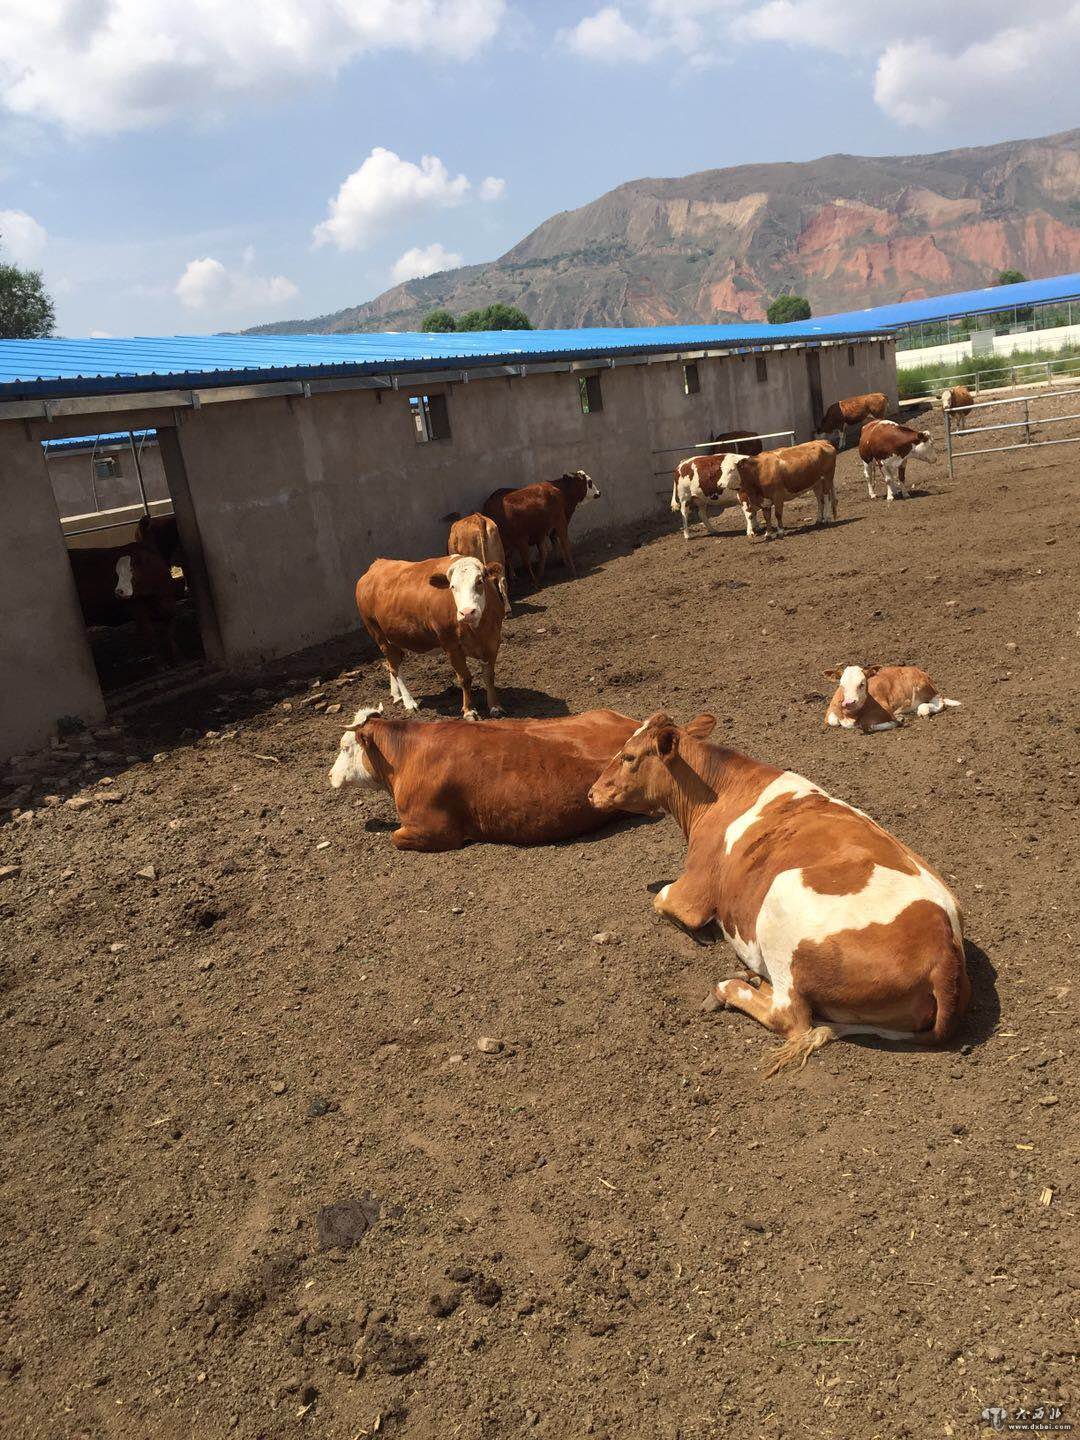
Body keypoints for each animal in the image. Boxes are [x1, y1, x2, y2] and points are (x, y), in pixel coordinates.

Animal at [68, 535, 180, 665]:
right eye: (116, 573)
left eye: (132, 569)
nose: (118, 591)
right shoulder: (139, 612)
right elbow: (150, 636)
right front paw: (161, 664)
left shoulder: (169, 608)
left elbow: (167, 635)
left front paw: (175, 658)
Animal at [355, 554, 506, 721]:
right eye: (452, 587)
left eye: (479, 581)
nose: (467, 612)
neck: (477, 630)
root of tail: (377, 564)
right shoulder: (452, 646)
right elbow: (465, 678)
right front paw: (469, 711)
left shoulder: (493, 641)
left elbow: (489, 676)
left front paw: (495, 706)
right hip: (378, 634)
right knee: (394, 667)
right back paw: (409, 702)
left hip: (394, 637)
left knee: (391, 663)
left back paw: (396, 695)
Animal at [587, 712, 970, 1072]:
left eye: (629, 756)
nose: (591, 793)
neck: (714, 795)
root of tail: (944, 949)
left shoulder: (694, 888)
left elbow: (661, 900)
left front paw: (703, 932)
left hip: (780, 900)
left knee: (790, 1016)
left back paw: (732, 987)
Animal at [824, 665, 961, 732]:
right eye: (841, 684)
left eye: (862, 683)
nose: (849, 702)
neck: (851, 715)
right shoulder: (830, 712)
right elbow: (832, 721)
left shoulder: (888, 712)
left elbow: (868, 726)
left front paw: (900, 719)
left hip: (923, 686)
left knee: (939, 701)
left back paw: (924, 710)